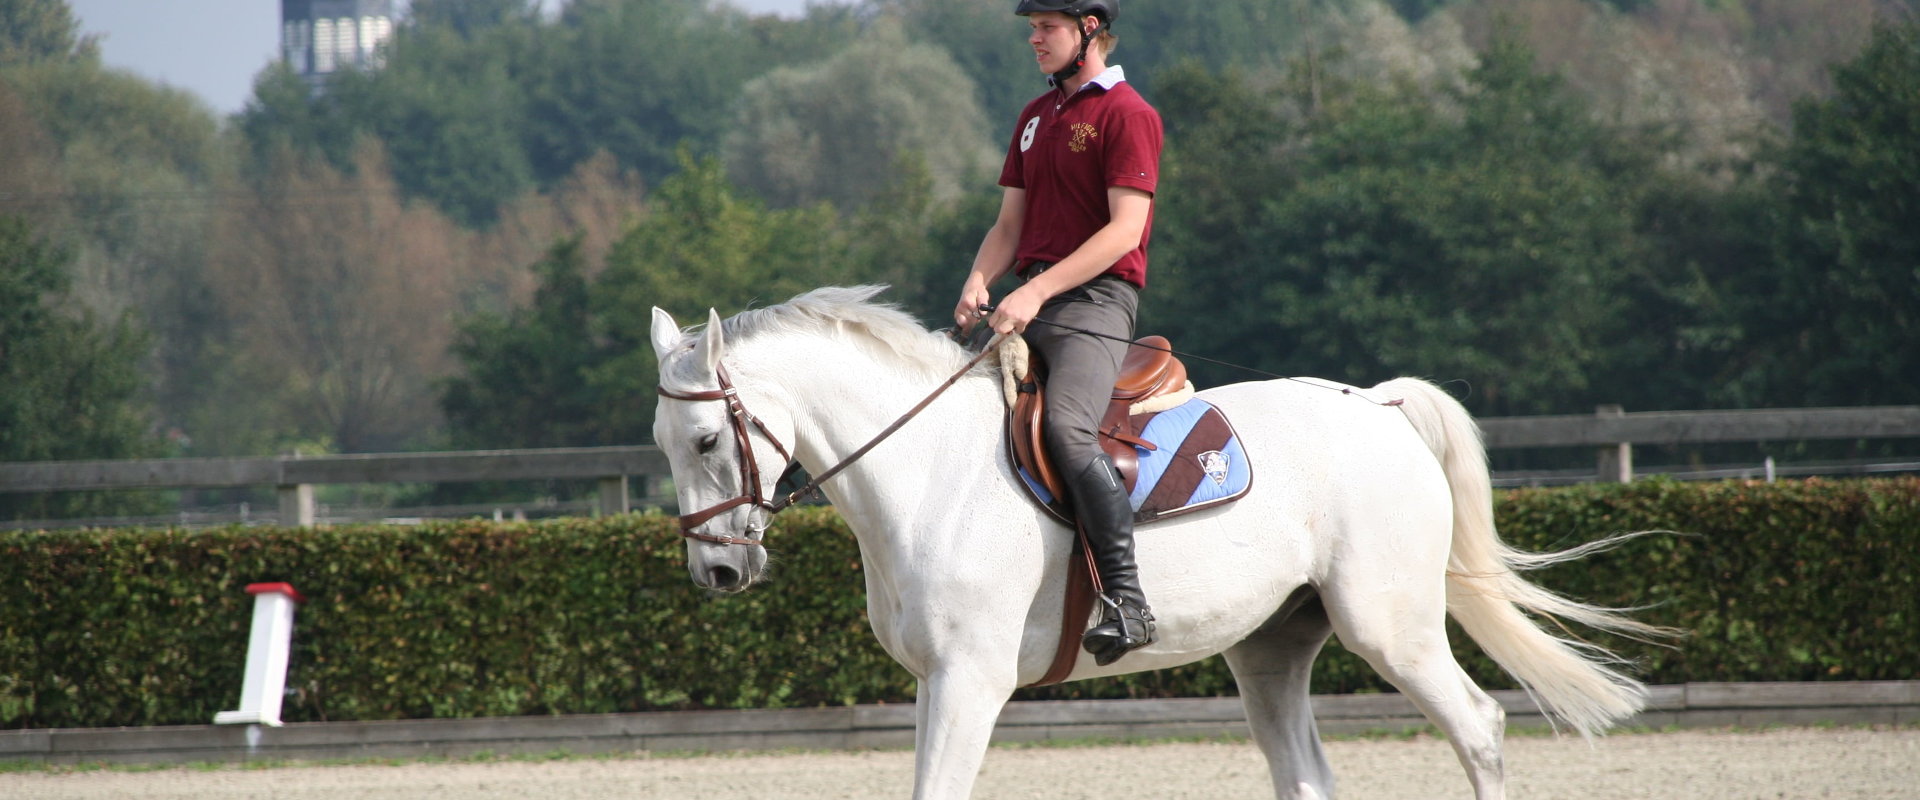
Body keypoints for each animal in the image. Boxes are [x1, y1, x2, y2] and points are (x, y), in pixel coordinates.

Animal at [648, 285, 1666, 798]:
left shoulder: (970, 681)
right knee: (1307, 773)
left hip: (1392, 629)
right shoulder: (938, 683)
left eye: (704, 441)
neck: (927, 471)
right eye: (663, 445)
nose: (718, 571)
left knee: (1479, 727)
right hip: (1269, 651)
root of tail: (1376, 406)